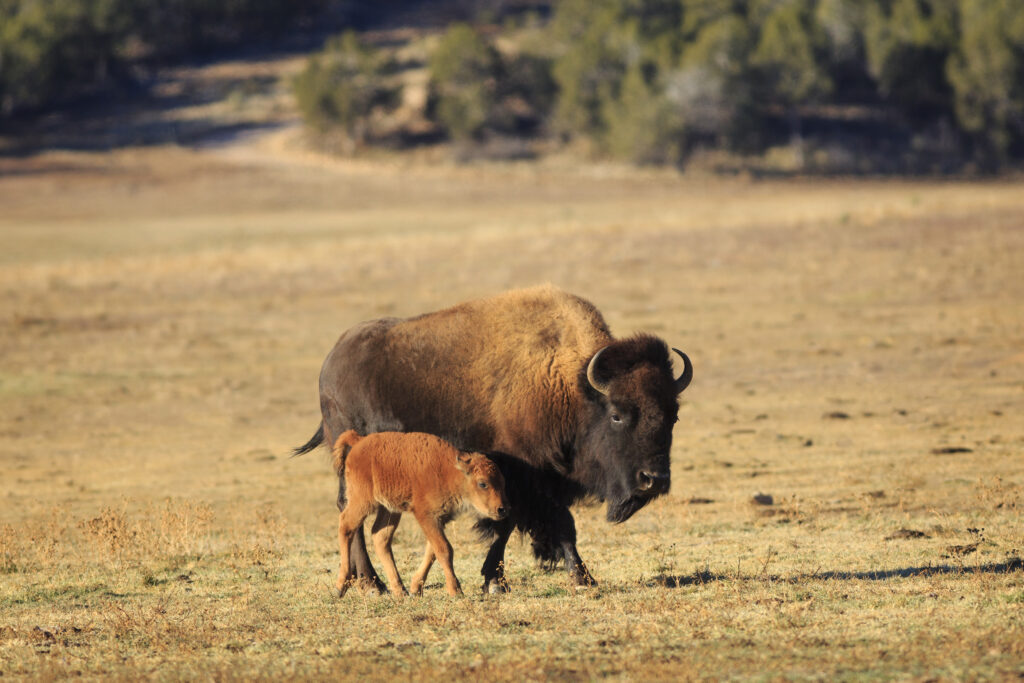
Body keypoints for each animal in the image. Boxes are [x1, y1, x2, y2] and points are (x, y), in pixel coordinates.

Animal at [331, 432, 507, 598]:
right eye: (483, 483)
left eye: (502, 482)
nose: (502, 509)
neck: (450, 471)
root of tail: (360, 441)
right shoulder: (426, 516)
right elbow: (444, 549)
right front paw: (456, 591)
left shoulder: (440, 520)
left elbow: (432, 551)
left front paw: (416, 589)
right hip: (362, 502)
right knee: (346, 527)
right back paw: (340, 587)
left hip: (390, 510)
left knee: (380, 537)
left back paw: (400, 591)